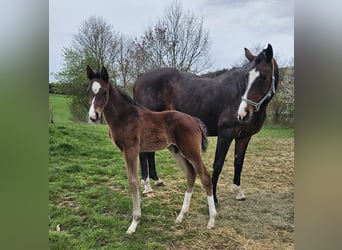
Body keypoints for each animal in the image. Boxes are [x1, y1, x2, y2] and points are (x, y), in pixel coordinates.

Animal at [85, 65, 216, 233]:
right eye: (89, 91)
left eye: (104, 92)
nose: (93, 116)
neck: (125, 117)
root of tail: (194, 120)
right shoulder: (125, 151)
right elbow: (132, 180)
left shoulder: (131, 150)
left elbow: (133, 181)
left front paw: (135, 222)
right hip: (176, 150)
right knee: (190, 174)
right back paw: (181, 216)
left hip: (191, 151)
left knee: (205, 176)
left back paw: (211, 220)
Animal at [132, 44, 280, 208]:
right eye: (246, 78)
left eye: (263, 76)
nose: (242, 113)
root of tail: (140, 78)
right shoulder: (226, 134)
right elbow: (218, 164)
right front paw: (214, 199)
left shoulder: (244, 137)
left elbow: (239, 163)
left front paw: (238, 192)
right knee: (144, 153)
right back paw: (147, 187)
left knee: (150, 152)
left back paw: (157, 180)